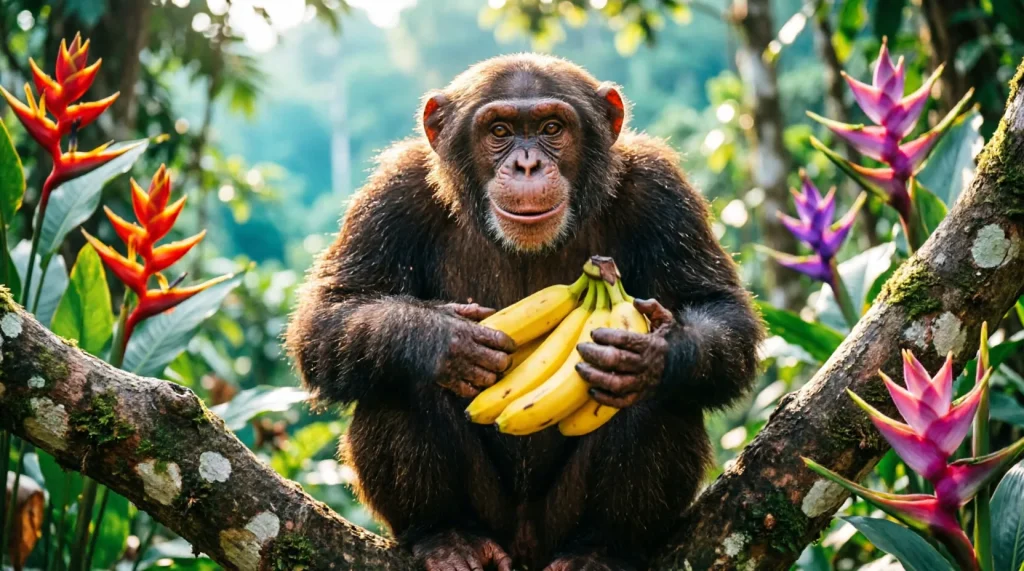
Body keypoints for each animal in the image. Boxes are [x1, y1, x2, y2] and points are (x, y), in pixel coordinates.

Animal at [285, 54, 763, 571]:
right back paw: (445, 534)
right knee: (396, 380)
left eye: (552, 127)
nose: (527, 164)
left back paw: (603, 545)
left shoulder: (662, 191)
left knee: (659, 399)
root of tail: (525, 547)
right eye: (499, 130)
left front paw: (652, 355)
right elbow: (330, 313)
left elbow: (719, 307)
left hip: (558, 522)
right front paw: (444, 339)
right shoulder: (392, 192)